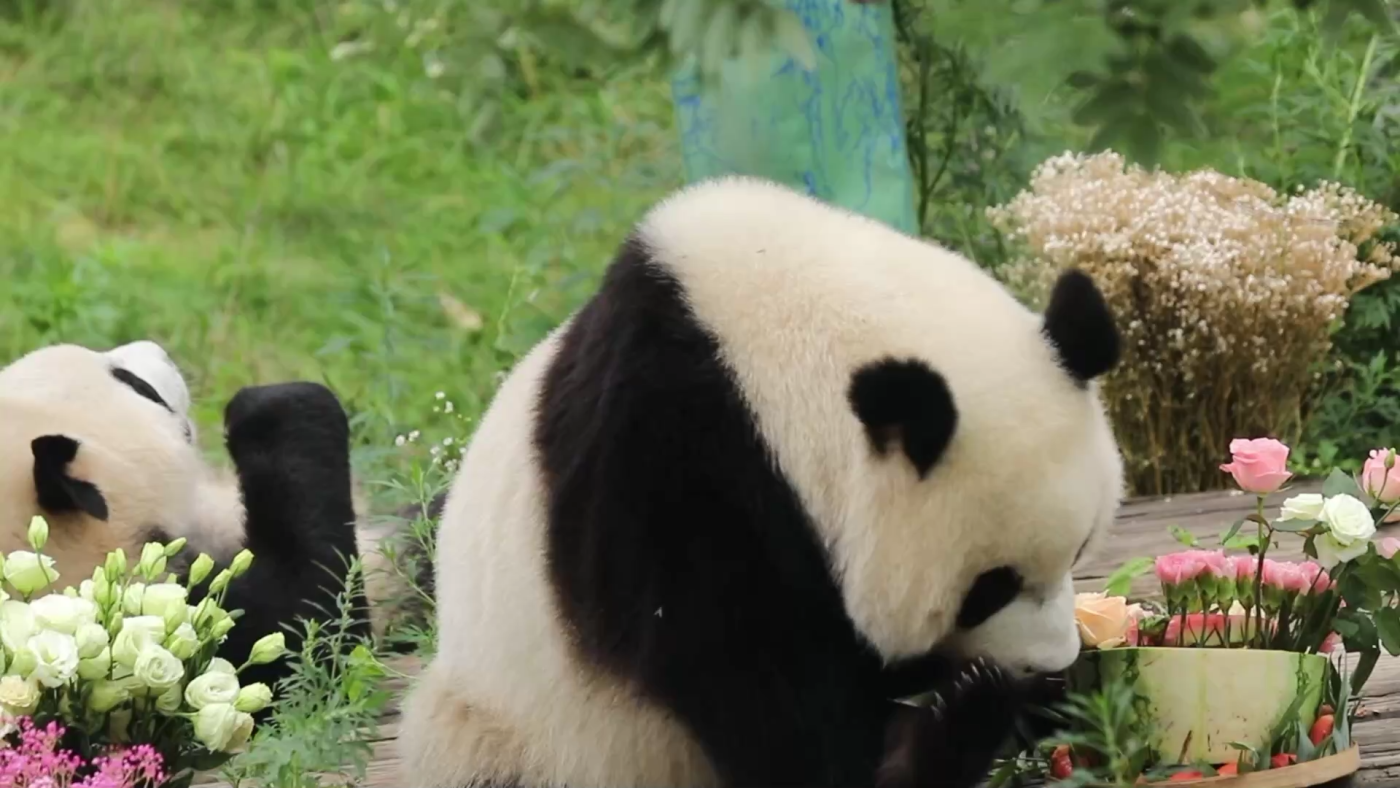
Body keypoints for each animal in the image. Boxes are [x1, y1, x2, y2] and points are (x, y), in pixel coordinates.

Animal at [400, 177, 1131, 788]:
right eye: (989, 588)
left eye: (1079, 550)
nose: (1053, 661)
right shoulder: (670, 474)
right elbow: (748, 683)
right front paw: (954, 721)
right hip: (523, 731)